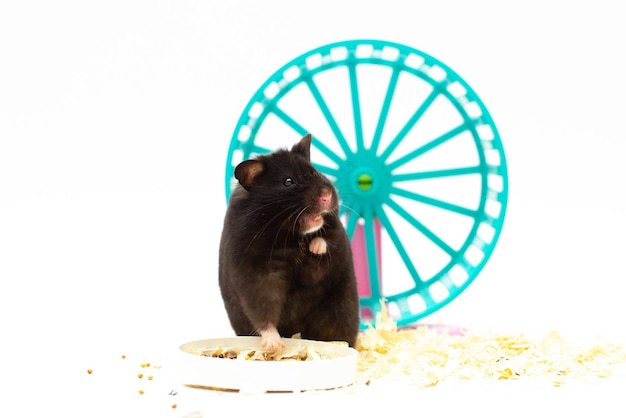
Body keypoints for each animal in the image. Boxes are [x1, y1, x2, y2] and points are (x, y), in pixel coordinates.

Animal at [218, 134, 356, 350]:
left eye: (315, 172)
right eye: (288, 182)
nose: (327, 196)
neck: (287, 233)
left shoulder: (328, 251)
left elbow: (325, 243)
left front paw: (316, 247)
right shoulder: (255, 269)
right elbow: (263, 306)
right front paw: (274, 344)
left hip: (340, 312)